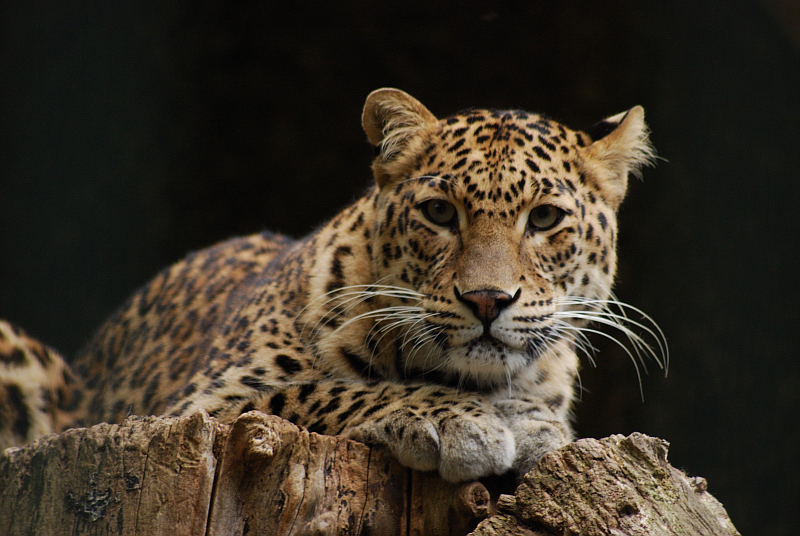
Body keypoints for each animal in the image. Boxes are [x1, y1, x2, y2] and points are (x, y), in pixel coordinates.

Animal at [0, 88, 664, 482]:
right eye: (440, 213)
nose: (487, 300)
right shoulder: (202, 407)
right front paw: (466, 421)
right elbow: (321, 391)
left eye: (545, 219)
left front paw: (524, 420)